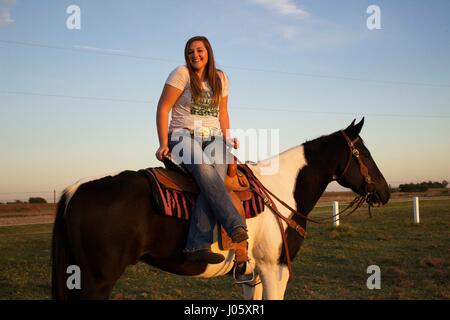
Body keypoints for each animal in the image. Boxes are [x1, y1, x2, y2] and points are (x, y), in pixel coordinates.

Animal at [51, 118, 390, 300]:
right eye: (364, 153)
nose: (385, 192)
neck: (282, 188)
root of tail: (74, 190)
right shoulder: (274, 270)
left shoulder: (253, 274)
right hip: (98, 281)